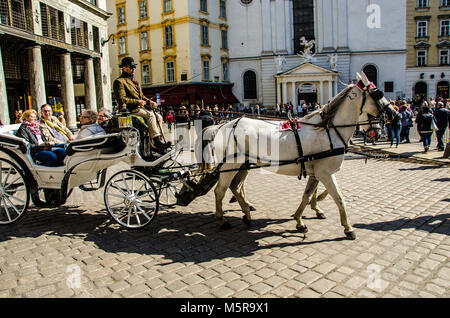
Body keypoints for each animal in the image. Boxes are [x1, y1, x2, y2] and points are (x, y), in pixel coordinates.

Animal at [206, 73, 396, 240]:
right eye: (378, 93)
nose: (394, 114)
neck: (327, 130)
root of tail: (223, 125)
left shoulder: (316, 173)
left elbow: (307, 196)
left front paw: (299, 220)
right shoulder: (325, 173)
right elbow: (339, 198)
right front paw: (348, 228)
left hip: (244, 165)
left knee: (236, 188)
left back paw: (246, 213)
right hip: (230, 165)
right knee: (220, 191)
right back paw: (223, 220)